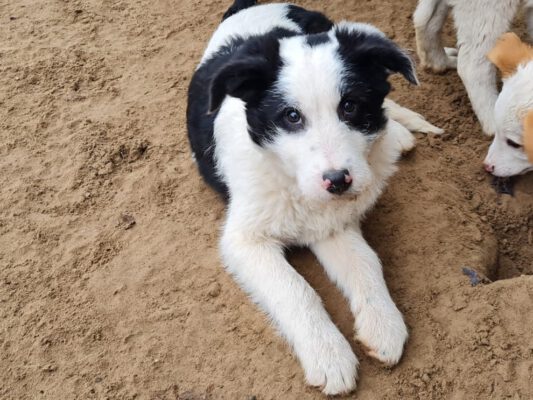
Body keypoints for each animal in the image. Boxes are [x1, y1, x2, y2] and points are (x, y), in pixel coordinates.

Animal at [187, 1, 441, 394]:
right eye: (291, 116)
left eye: (350, 106)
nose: (338, 181)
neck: (291, 183)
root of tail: (260, 5)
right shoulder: (245, 241)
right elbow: (295, 289)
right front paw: (329, 355)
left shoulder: (332, 224)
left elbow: (366, 261)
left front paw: (383, 324)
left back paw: (398, 134)